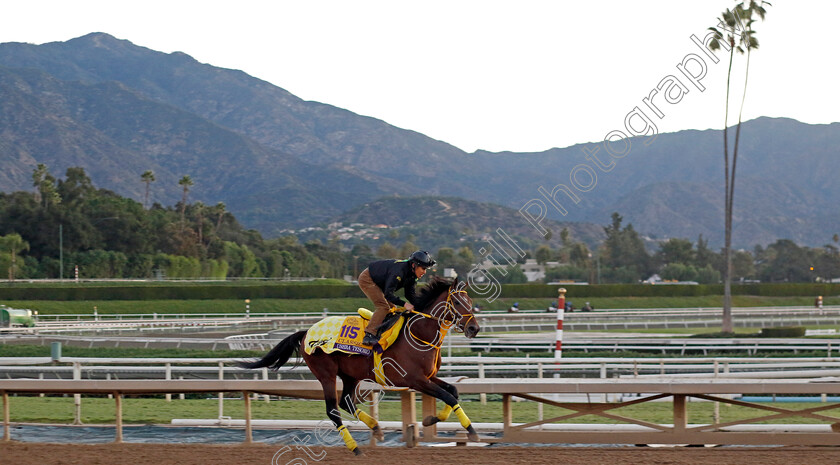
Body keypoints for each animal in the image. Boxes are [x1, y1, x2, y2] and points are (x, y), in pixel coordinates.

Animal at [240, 276, 482, 454]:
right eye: (458, 303)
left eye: (471, 303)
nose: (474, 329)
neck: (418, 334)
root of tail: (306, 332)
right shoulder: (415, 380)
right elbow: (448, 396)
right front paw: (471, 431)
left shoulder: (429, 377)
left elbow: (453, 390)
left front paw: (432, 419)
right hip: (326, 374)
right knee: (333, 410)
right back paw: (355, 448)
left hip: (350, 375)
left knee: (346, 402)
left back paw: (376, 428)